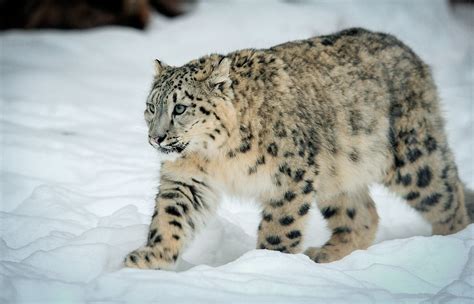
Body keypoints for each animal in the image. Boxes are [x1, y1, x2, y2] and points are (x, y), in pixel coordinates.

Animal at [124, 28, 472, 270]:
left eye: (180, 108)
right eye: (151, 107)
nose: (156, 138)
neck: (215, 157)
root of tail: (410, 53)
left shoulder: (289, 176)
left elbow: (281, 225)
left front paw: (267, 263)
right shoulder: (186, 179)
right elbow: (170, 217)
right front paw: (149, 259)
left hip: (414, 158)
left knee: (447, 196)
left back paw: (448, 246)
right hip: (338, 174)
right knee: (362, 215)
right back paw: (325, 255)